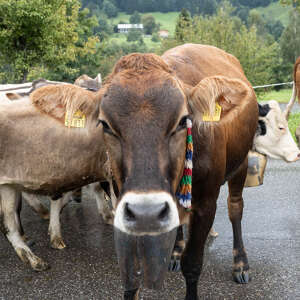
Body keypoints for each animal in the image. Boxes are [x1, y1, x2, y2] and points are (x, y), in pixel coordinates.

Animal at [98, 43, 258, 298]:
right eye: (105, 124)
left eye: (183, 120)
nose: (147, 209)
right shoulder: (126, 204)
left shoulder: (206, 202)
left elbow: (192, 263)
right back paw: (175, 251)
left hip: (241, 164)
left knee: (235, 209)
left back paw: (240, 263)